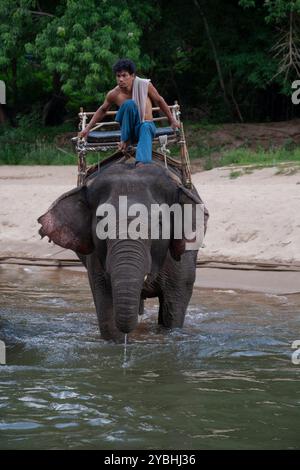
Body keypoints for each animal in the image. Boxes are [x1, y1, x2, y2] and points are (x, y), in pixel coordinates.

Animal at [37, 159, 207, 342]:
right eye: (100, 219)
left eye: (159, 221)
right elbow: (105, 303)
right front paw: (118, 341)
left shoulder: (182, 258)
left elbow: (174, 306)